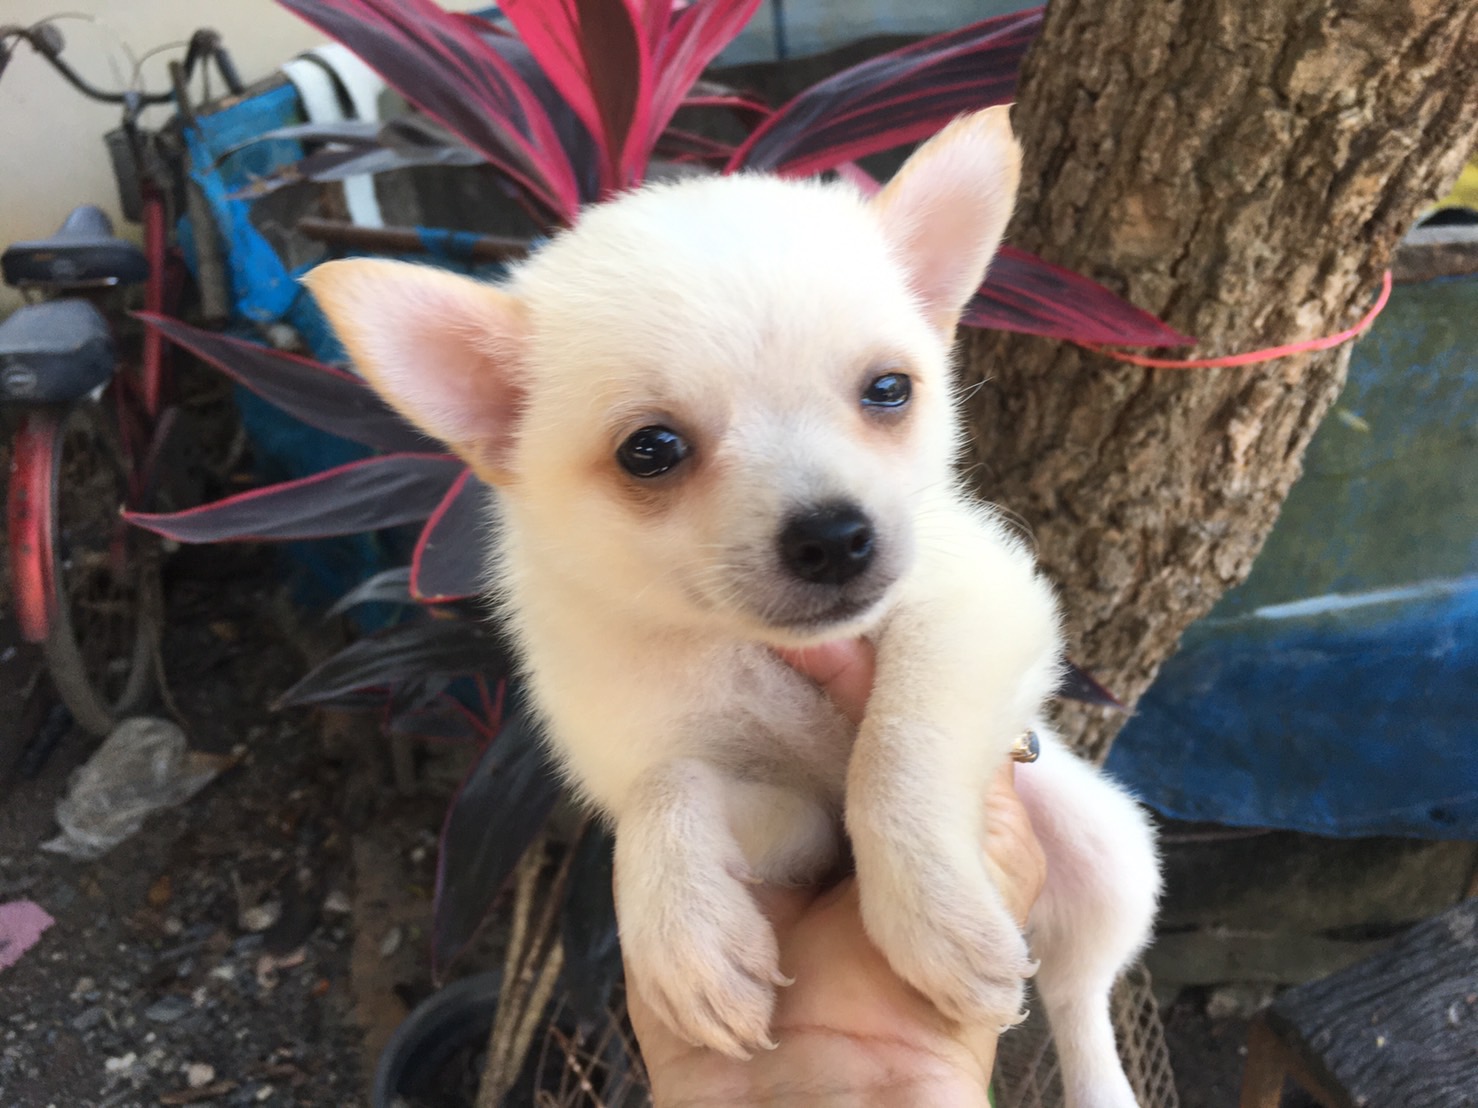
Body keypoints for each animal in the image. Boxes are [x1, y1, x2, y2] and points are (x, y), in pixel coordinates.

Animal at [307, 106, 1160, 1107]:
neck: (735, 645)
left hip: (1106, 850)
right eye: (650, 450)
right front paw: (687, 937)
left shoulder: (976, 607)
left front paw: (931, 915)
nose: (835, 536)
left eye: (889, 390)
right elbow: (665, 792)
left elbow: (895, 751)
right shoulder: (793, 820)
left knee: (1078, 996)